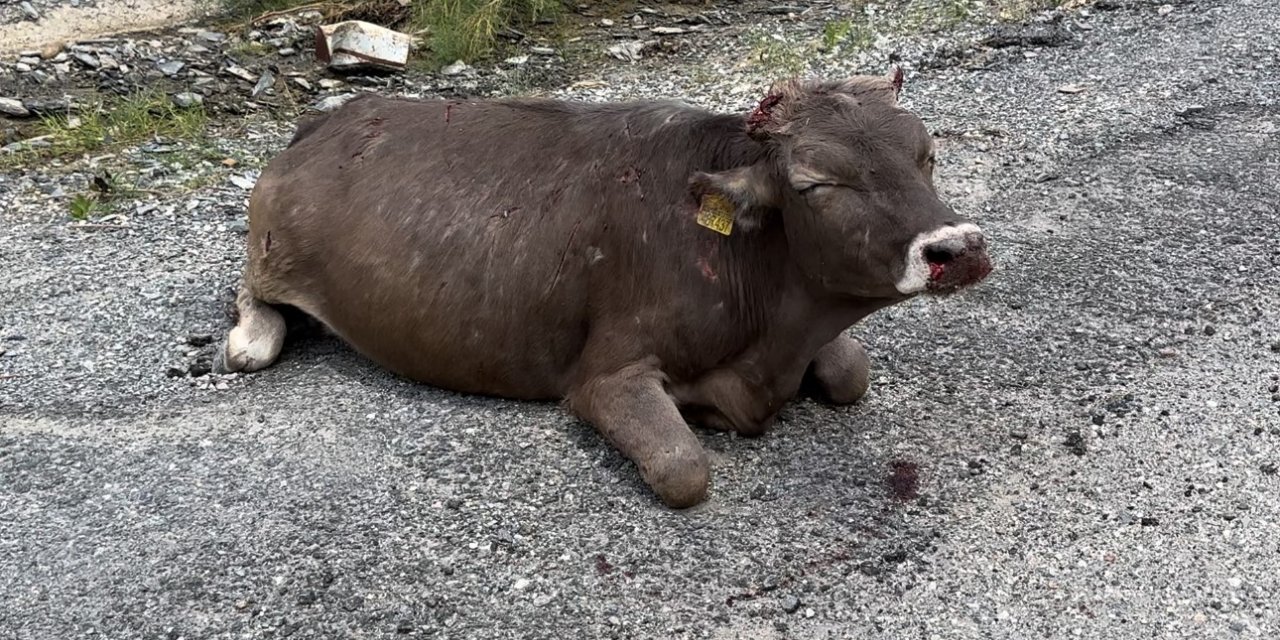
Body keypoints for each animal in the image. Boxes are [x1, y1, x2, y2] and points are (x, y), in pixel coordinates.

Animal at [215, 68, 993, 509]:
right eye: (815, 183)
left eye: (926, 154)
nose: (956, 249)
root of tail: (331, 116)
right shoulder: (605, 371)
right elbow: (683, 469)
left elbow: (852, 371)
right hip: (272, 239)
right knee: (251, 293)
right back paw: (252, 337)